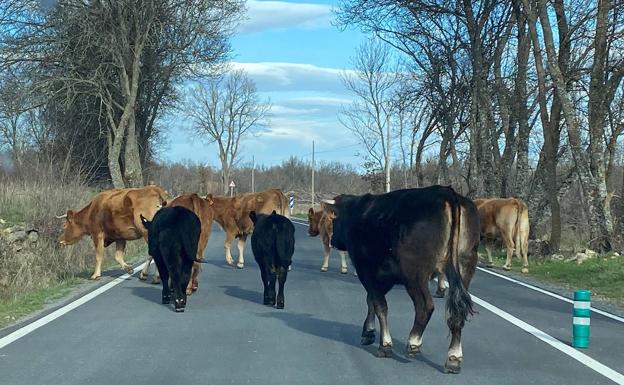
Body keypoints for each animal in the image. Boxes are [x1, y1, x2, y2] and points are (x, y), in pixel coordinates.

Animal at [324, 186, 480, 372]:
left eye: (334, 219)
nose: (333, 241)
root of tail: (447, 192)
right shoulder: (384, 278)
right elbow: (371, 301)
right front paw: (368, 332)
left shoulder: (367, 272)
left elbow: (379, 306)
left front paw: (384, 345)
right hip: (465, 267)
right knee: (458, 311)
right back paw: (453, 358)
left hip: (415, 275)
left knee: (425, 307)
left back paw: (414, 342)